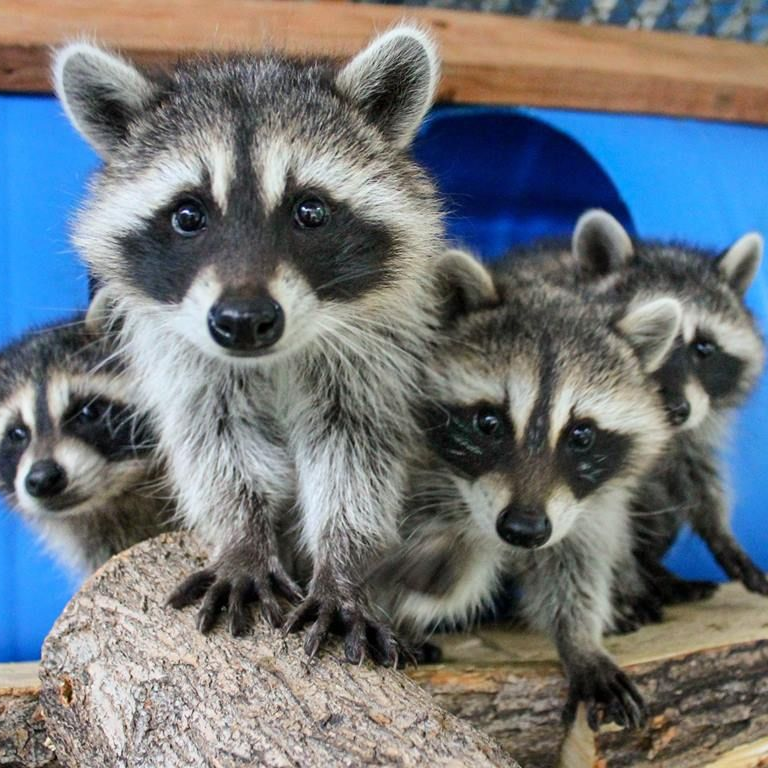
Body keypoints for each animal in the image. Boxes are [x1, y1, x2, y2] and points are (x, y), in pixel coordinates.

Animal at [53, 27, 444, 661]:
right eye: (188, 214)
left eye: (310, 210)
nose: (242, 321)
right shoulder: (186, 358)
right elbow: (218, 446)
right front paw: (242, 539)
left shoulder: (370, 353)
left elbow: (355, 454)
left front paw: (343, 560)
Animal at [378, 254, 681, 729]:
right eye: (488, 422)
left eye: (581, 435)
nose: (523, 530)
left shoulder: (584, 508)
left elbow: (574, 567)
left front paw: (581, 640)